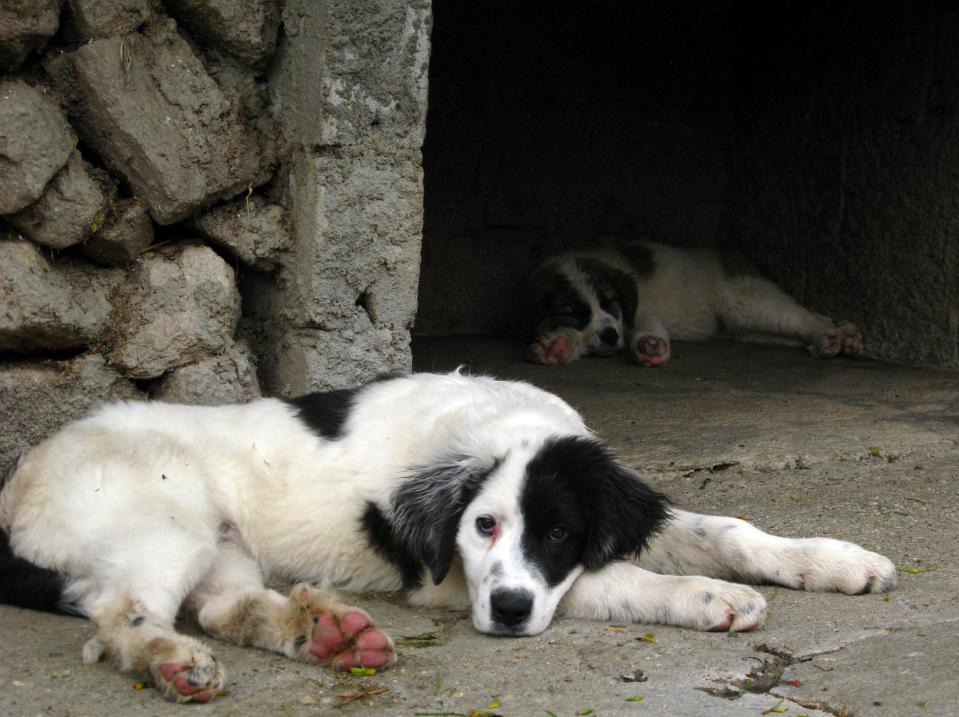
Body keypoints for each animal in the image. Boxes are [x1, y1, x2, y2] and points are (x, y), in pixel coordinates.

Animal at [1, 372, 900, 704]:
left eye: (559, 527)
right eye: (482, 525)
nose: (505, 612)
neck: (500, 423)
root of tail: (17, 484)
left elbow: (727, 528)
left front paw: (834, 559)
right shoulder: (446, 578)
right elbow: (610, 581)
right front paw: (709, 596)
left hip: (223, 540)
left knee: (221, 607)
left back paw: (326, 632)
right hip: (164, 516)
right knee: (121, 617)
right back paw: (173, 662)